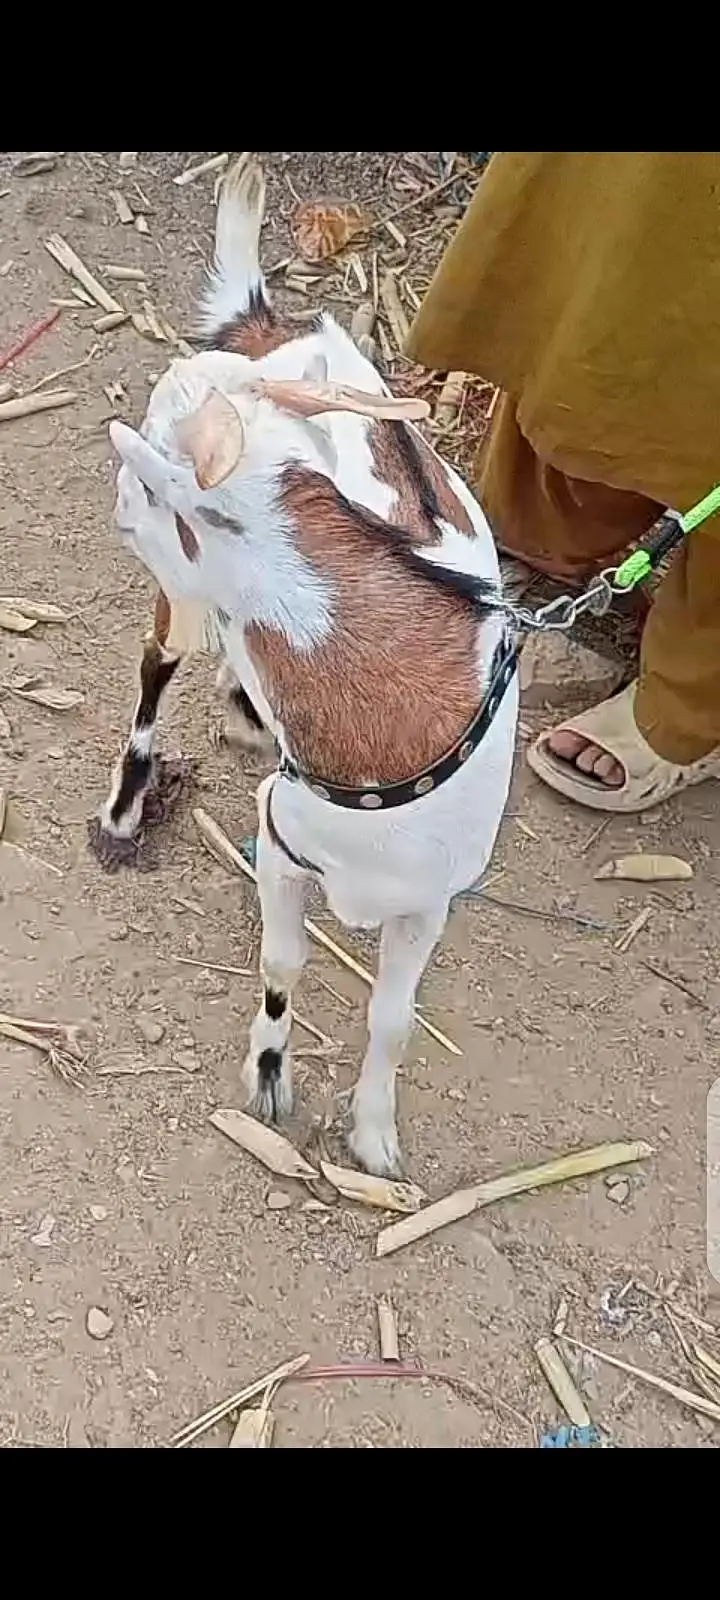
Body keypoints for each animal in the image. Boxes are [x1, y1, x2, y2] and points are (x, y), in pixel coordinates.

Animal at [95, 154, 519, 1177]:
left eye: (148, 467)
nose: (115, 497)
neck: (389, 755)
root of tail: (265, 327)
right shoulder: (280, 849)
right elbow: (282, 965)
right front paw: (268, 1082)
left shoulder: (427, 904)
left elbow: (396, 1017)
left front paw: (373, 1137)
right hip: (180, 608)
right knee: (156, 669)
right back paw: (125, 809)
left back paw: (246, 710)